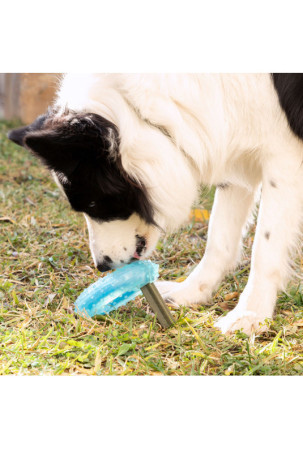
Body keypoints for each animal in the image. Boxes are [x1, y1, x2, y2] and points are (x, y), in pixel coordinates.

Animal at [7, 74, 303, 334]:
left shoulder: (284, 155)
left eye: (93, 204)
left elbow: (265, 247)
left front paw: (250, 313)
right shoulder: (232, 140)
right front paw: (192, 292)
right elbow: (219, 237)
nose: (102, 266)